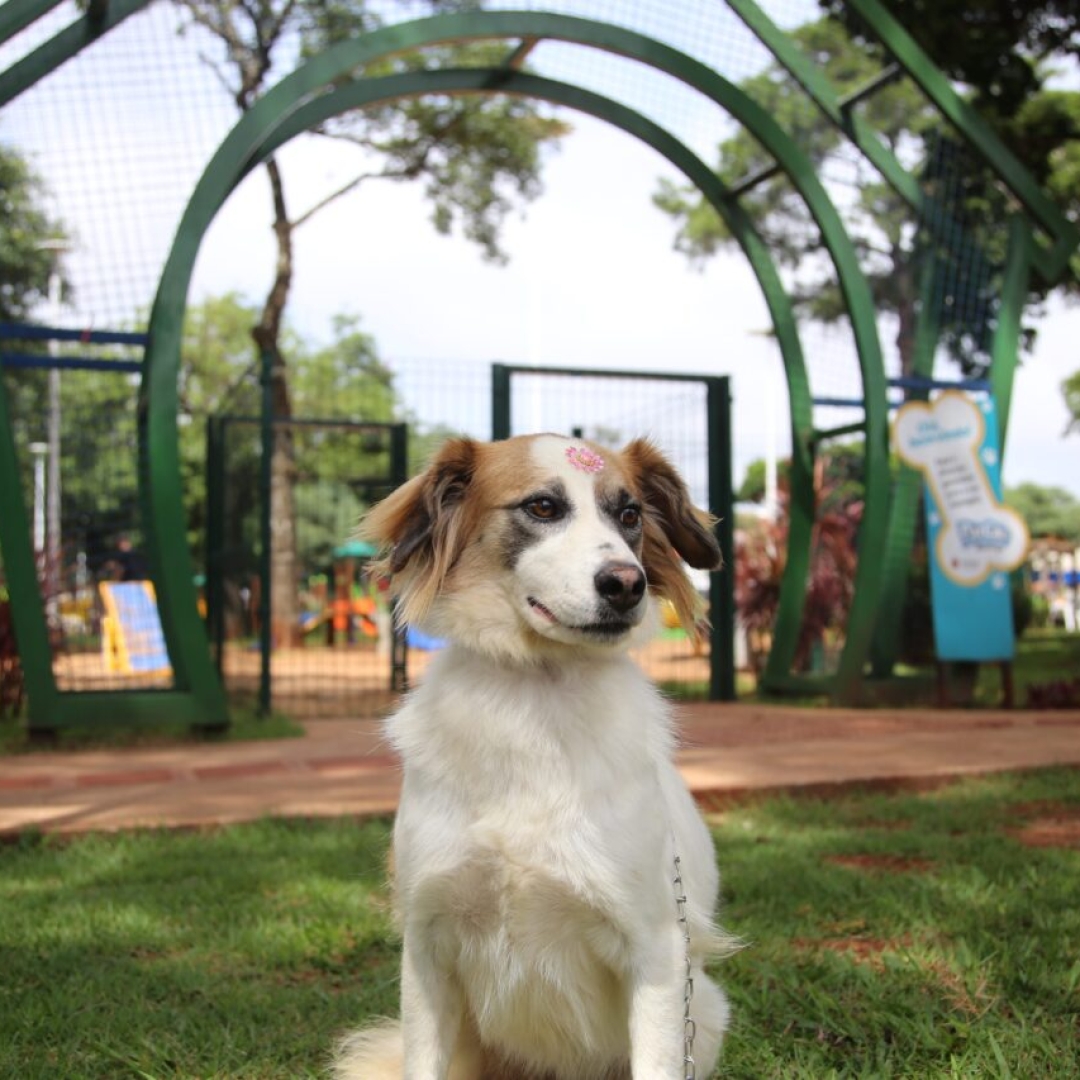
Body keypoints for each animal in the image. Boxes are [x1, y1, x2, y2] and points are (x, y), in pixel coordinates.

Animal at [332, 434, 730, 1080]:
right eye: (543, 507)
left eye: (630, 515)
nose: (627, 584)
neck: (533, 704)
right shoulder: (427, 943)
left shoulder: (656, 951)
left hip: (710, 1008)